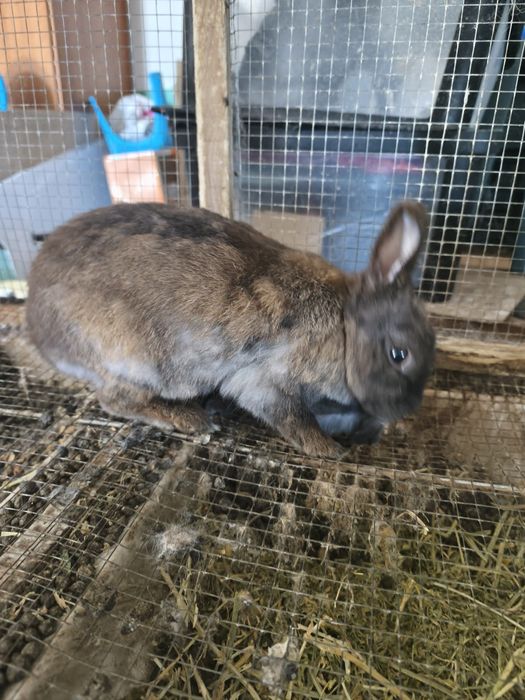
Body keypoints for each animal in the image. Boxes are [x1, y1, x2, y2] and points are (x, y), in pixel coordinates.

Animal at [26, 200, 435, 457]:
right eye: (399, 354)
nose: (404, 409)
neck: (345, 329)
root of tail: (38, 323)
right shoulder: (266, 381)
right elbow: (293, 418)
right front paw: (329, 450)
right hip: (132, 358)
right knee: (115, 400)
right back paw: (191, 419)